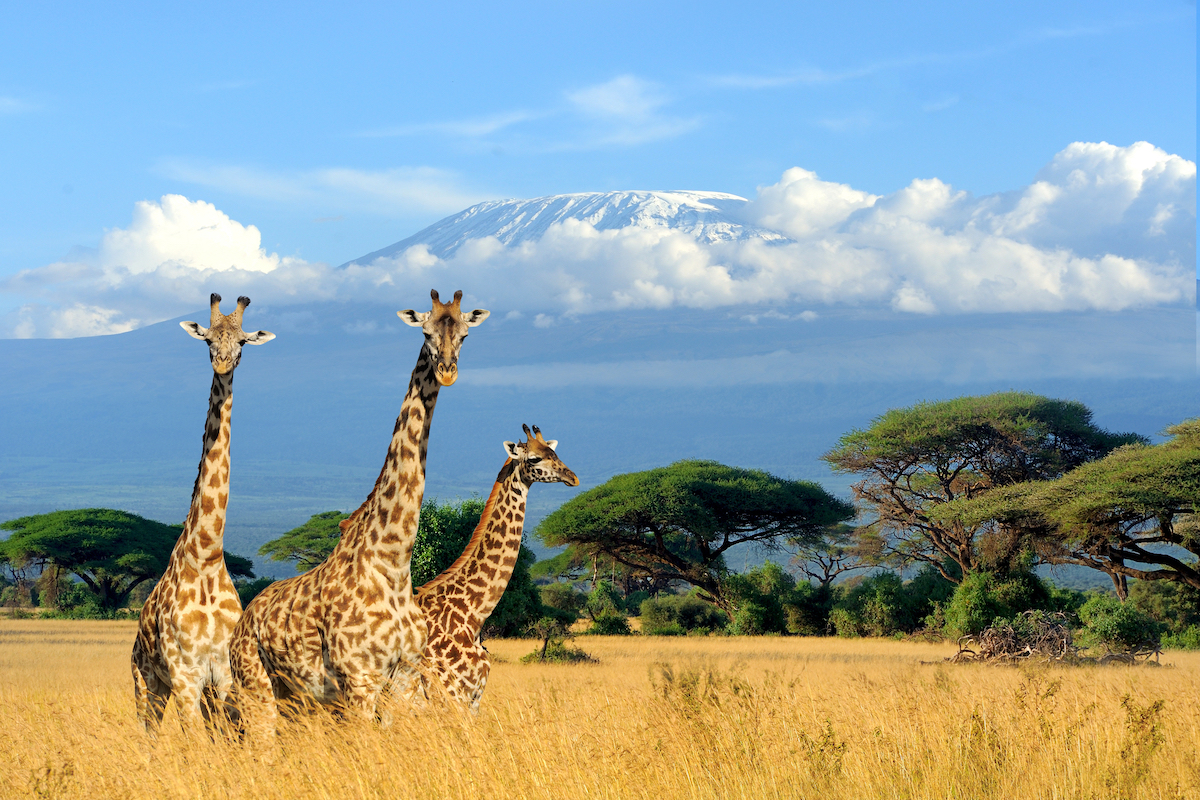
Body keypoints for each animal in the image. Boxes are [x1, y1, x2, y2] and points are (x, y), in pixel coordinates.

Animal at [130, 293, 274, 734]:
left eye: (242, 341)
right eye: (208, 339)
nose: (223, 363)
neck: (207, 556)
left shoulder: (223, 674)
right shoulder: (185, 674)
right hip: (147, 682)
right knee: (148, 733)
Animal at [231, 289, 484, 738]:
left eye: (465, 334)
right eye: (425, 331)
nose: (447, 371)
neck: (393, 563)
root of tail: (242, 623)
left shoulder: (403, 679)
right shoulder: (360, 680)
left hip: (295, 698)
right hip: (255, 686)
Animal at [410, 424, 578, 714]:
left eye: (555, 452)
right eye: (535, 459)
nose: (573, 477)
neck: (473, 615)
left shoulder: (473, 699)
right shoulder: (452, 697)